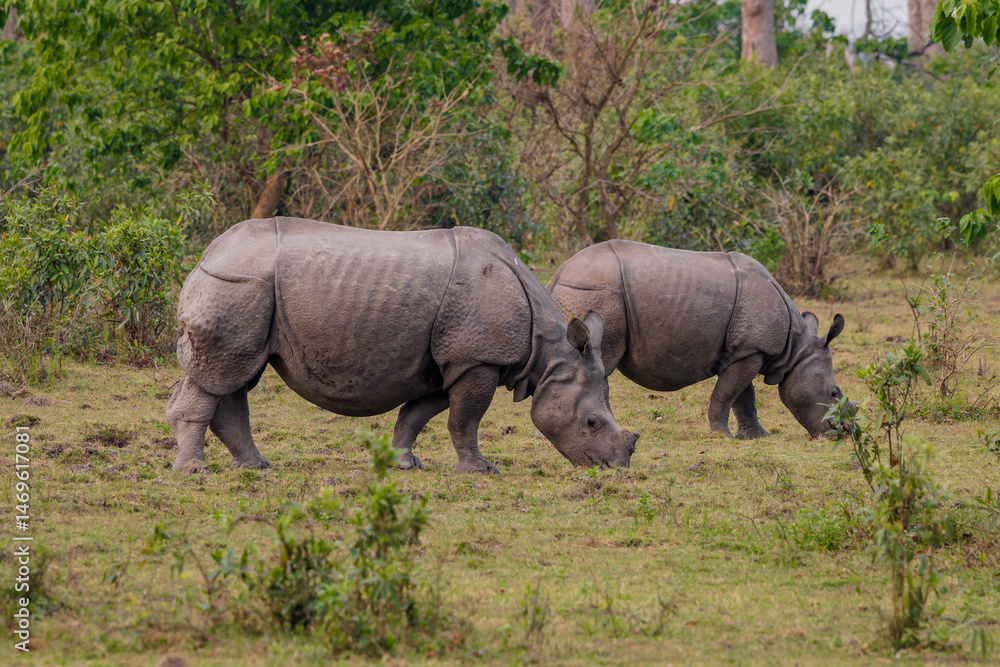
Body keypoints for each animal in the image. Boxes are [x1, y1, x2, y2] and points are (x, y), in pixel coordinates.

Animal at [166, 217, 638, 474]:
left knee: (235, 376)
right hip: (237, 284)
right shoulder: (477, 359)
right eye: (591, 422)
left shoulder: (450, 361)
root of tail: (207, 255)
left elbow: (419, 413)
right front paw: (481, 471)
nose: (615, 467)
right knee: (220, 374)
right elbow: (465, 419)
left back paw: (256, 467)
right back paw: (194, 469)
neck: (549, 356)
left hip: (245, 290)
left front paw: (403, 464)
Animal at [548, 240, 854, 439]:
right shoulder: (752, 350)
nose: (842, 432)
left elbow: (743, 396)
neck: (795, 350)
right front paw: (723, 436)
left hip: (585, 292)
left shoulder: (745, 351)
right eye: (834, 393)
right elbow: (727, 393)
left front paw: (757, 436)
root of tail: (560, 272)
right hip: (595, 293)